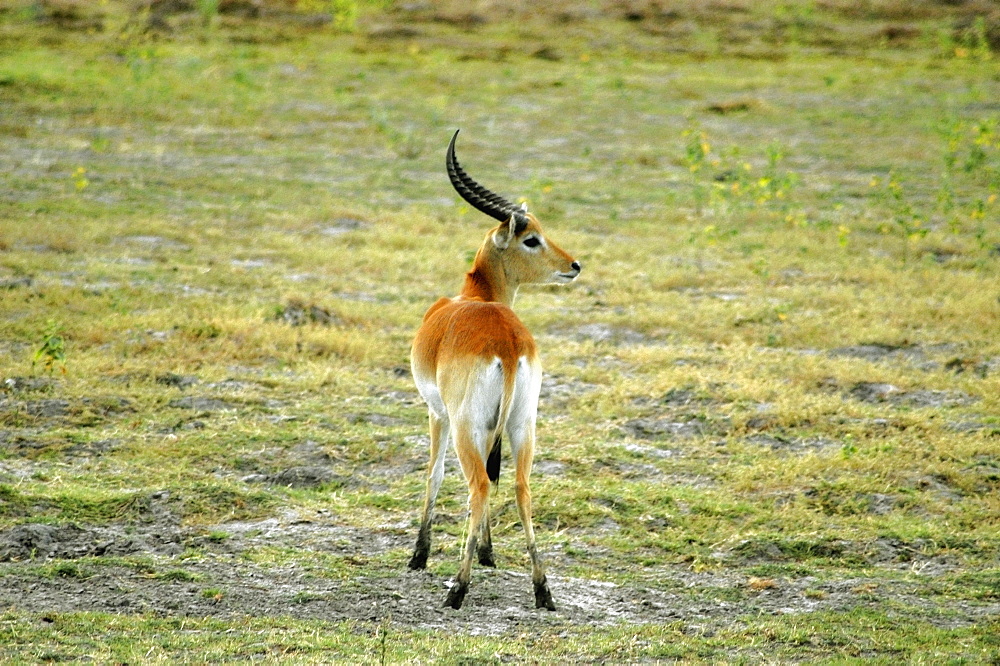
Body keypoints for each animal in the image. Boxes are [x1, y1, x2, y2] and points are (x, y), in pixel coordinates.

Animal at [404, 128, 580, 608]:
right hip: (523, 424)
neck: (476, 297)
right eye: (531, 238)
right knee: (519, 487)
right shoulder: (489, 426)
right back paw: (542, 591)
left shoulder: (437, 413)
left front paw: (419, 556)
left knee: (479, 485)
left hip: (466, 424)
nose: (574, 265)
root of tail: (507, 341)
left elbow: (434, 474)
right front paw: (487, 552)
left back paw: (457, 590)